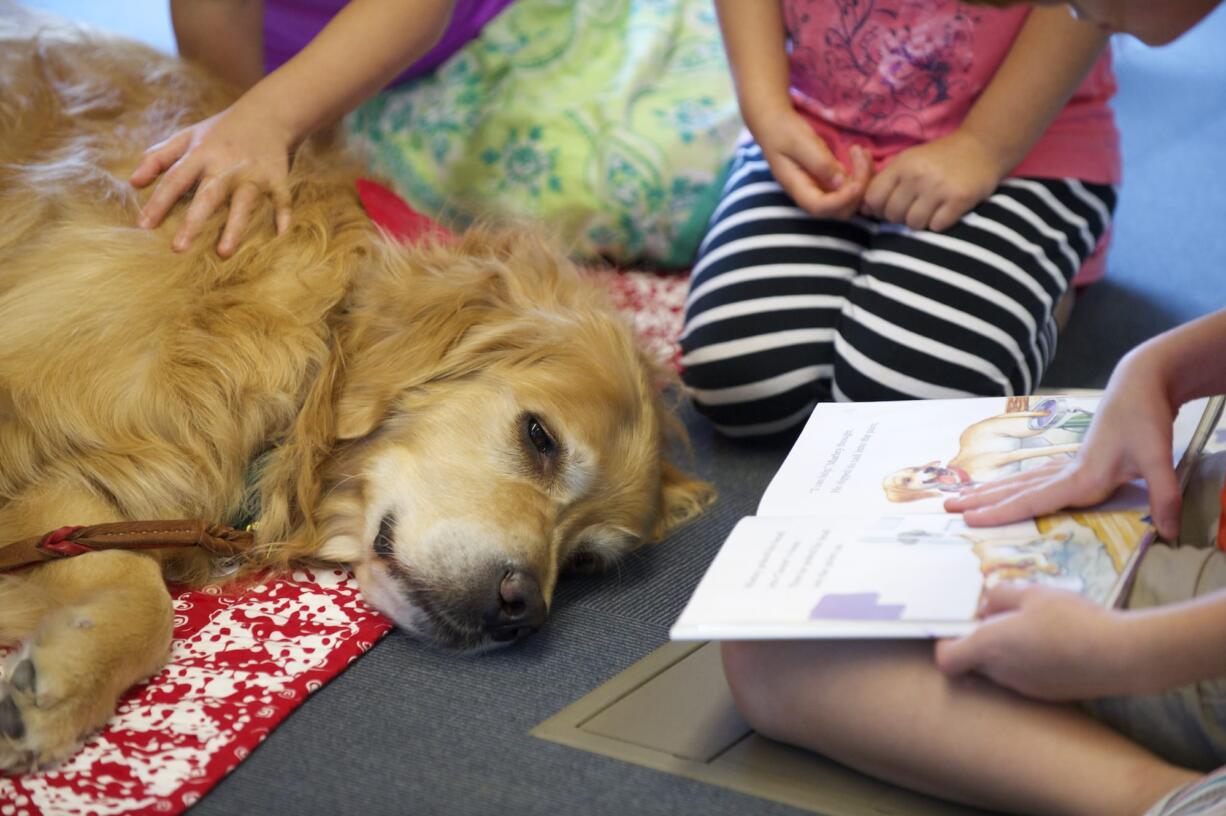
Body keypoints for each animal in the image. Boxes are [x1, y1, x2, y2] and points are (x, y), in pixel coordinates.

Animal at [0, 15, 715, 774]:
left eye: (583, 561)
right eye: (539, 437)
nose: (521, 608)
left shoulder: (85, 495)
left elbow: (140, 597)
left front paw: (61, 685)